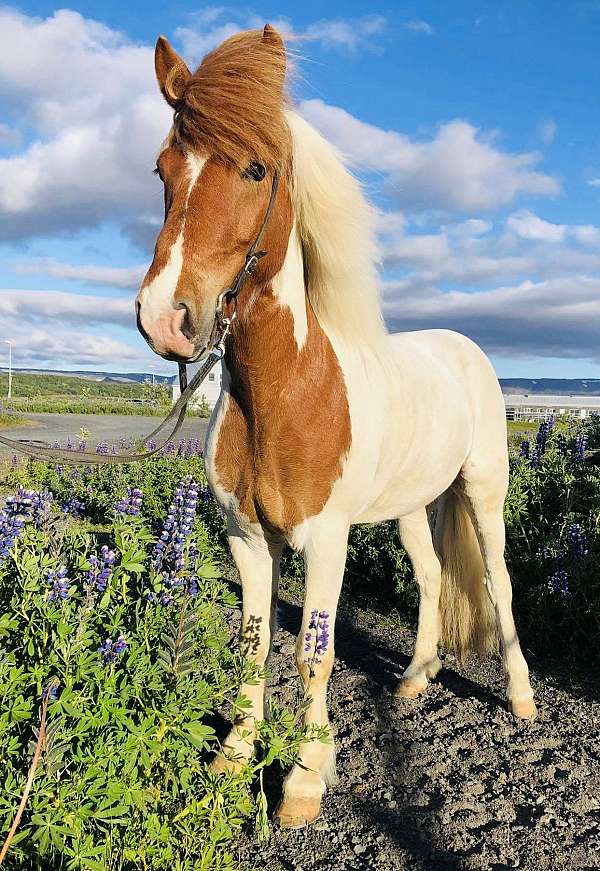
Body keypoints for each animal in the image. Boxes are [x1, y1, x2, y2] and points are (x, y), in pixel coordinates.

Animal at [135, 25, 536, 828]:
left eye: (256, 168)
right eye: (162, 168)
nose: (166, 318)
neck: (290, 391)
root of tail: (466, 348)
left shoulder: (325, 539)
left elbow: (311, 655)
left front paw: (304, 779)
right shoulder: (247, 537)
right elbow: (255, 646)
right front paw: (235, 756)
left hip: (482, 493)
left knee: (499, 582)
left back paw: (521, 696)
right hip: (413, 505)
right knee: (432, 574)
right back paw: (415, 676)